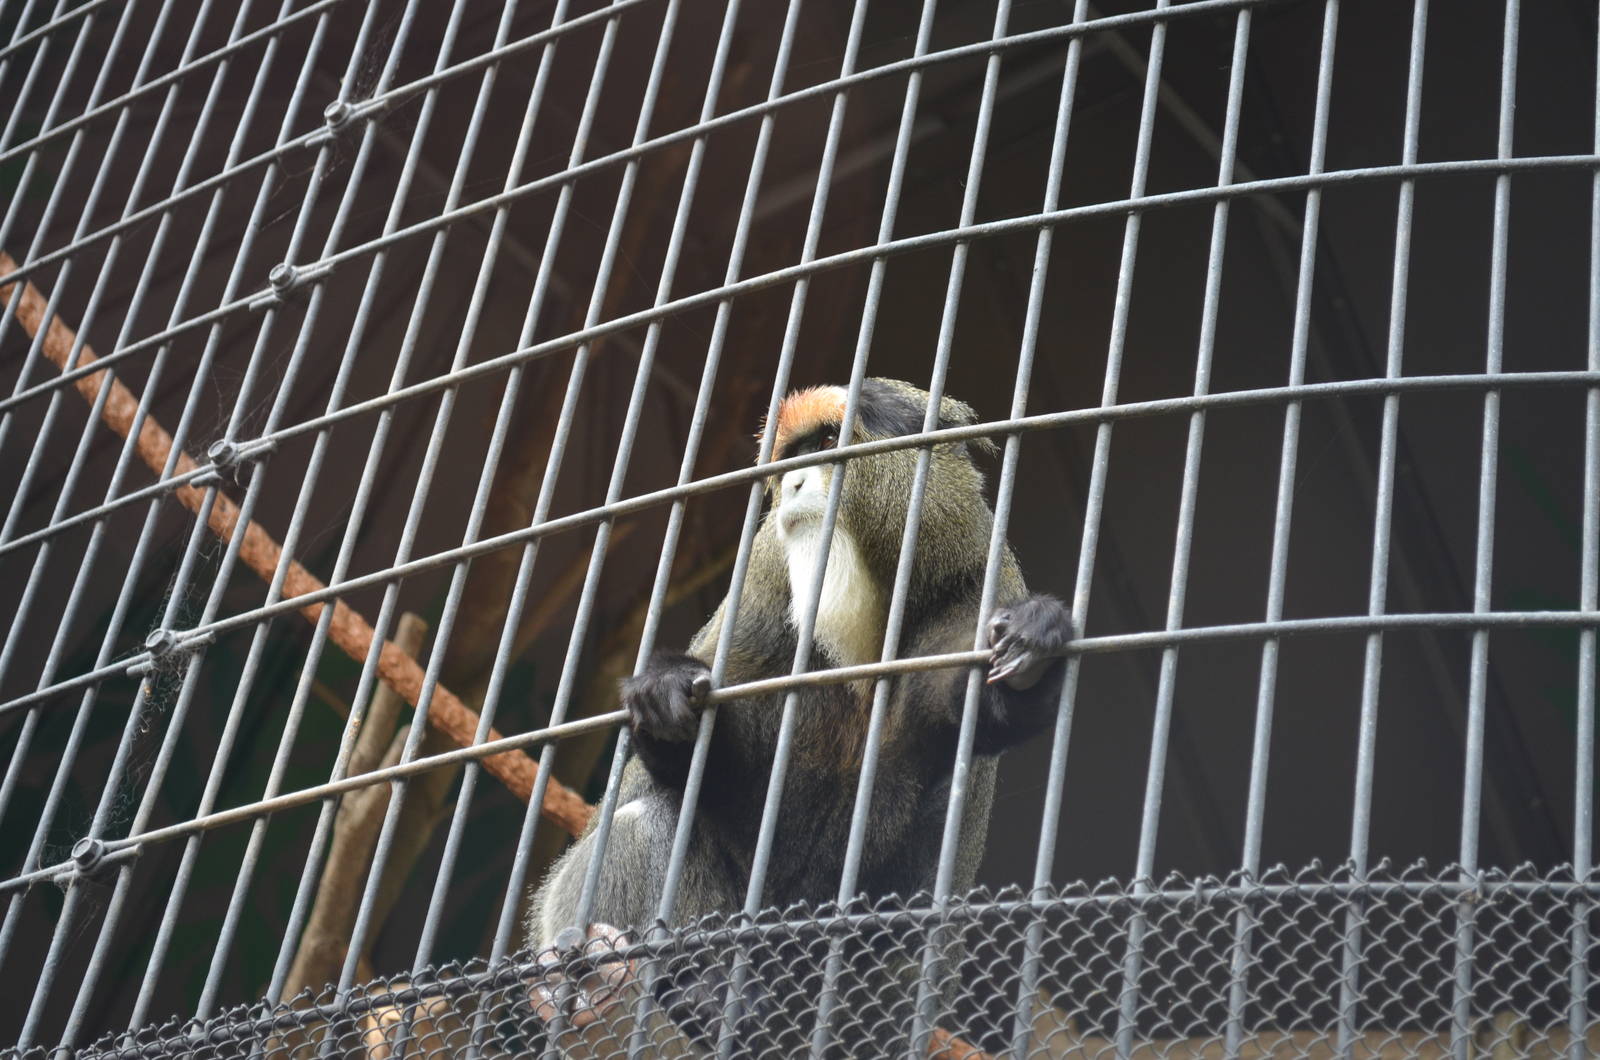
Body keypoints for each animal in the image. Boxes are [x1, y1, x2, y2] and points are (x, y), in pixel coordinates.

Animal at [524, 378, 1073, 1053]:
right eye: (793, 455)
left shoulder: (977, 588)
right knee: (641, 823)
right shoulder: (761, 594)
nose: (793, 484)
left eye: (830, 442)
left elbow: (985, 712)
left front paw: (1034, 643)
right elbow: (692, 777)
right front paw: (664, 695)